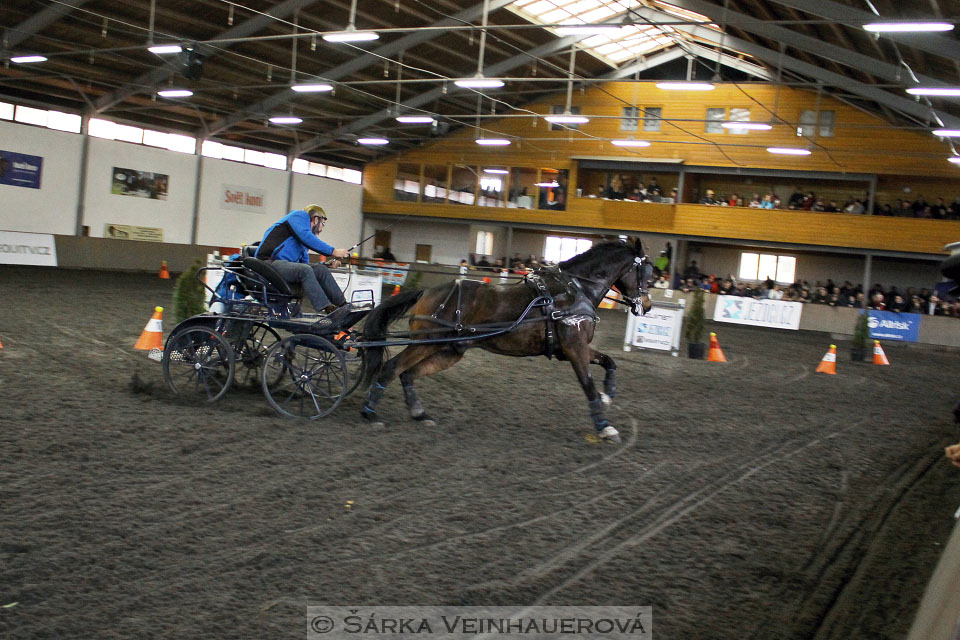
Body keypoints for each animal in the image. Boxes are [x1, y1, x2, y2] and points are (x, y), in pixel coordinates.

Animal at [358, 238, 652, 442]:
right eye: (647, 274)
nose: (647, 306)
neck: (574, 290)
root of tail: (426, 292)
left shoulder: (575, 348)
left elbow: (610, 362)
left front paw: (608, 394)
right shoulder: (574, 347)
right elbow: (587, 384)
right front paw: (605, 426)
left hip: (449, 351)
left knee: (408, 374)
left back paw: (419, 413)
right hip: (426, 341)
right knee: (393, 368)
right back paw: (370, 413)